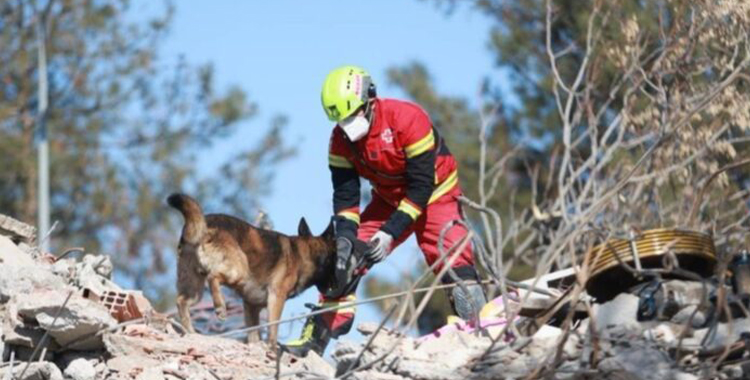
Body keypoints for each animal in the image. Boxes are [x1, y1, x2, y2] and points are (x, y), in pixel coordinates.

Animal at [169, 193, 340, 348]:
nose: (338, 285)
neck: (305, 253)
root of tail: (205, 223)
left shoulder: (251, 306)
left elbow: (253, 334)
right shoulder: (276, 297)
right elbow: (273, 328)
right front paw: (272, 348)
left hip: (195, 288)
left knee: (181, 301)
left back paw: (191, 332)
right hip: (239, 271)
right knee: (213, 277)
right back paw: (220, 307)